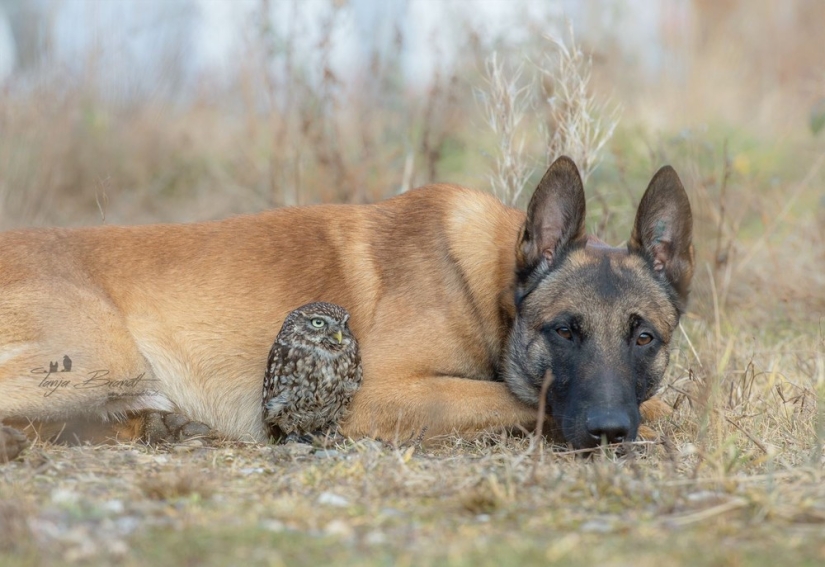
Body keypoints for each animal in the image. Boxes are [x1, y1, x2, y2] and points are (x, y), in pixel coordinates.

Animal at [0, 156, 692, 462]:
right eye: (564, 331)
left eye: (644, 339)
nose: (610, 431)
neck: (487, 280)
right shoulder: (379, 396)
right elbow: (521, 399)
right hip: (107, 356)